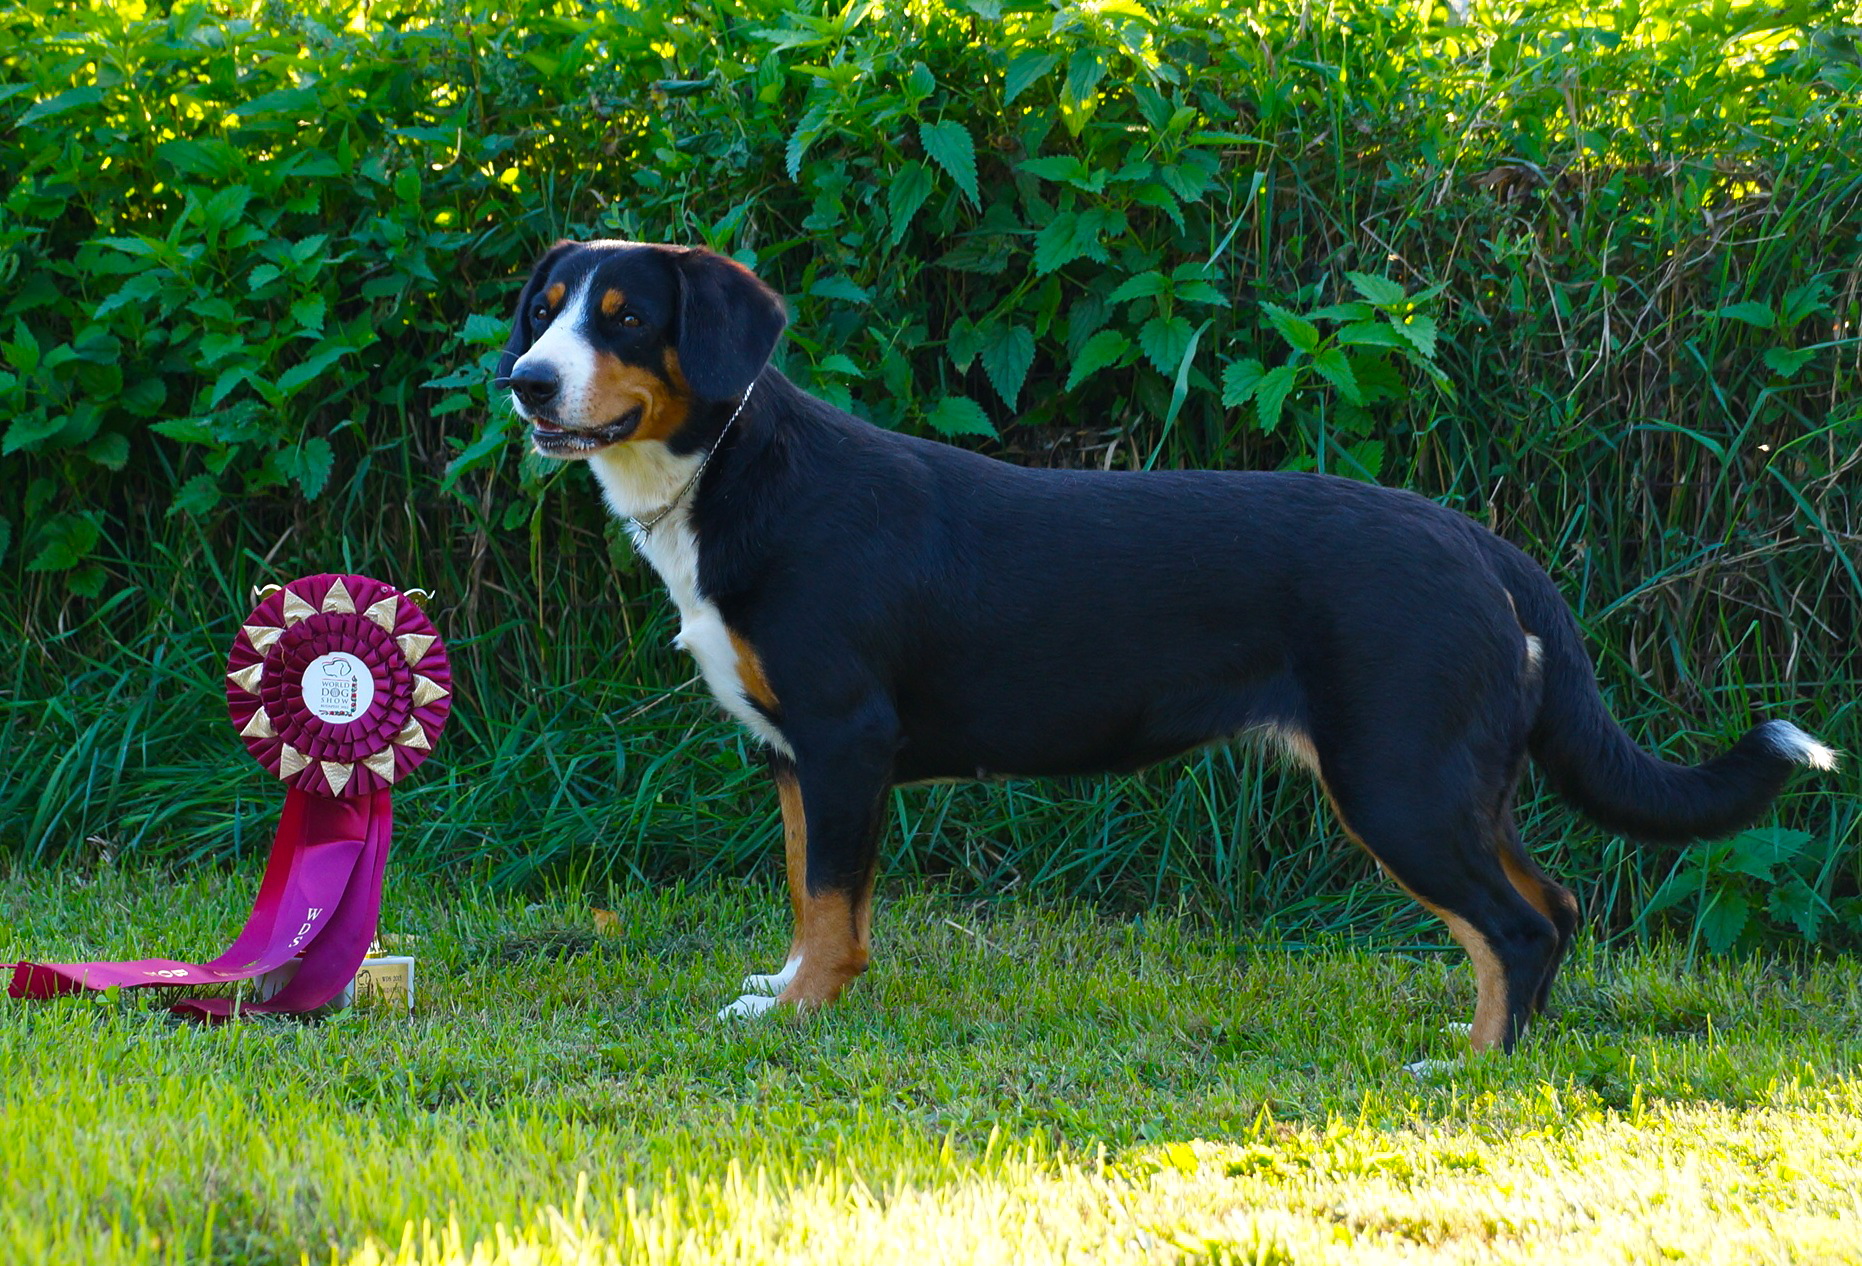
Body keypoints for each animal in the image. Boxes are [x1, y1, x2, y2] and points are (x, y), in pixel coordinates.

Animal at [502, 242, 1839, 1050]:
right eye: (545, 311)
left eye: (626, 319)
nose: (523, 381)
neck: (730, 475)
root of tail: (1476, 543)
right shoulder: (792, 760)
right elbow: (801, 891)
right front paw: (779, 991)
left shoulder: (843, 744)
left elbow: (831, 904)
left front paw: (803, 1016)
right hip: (1452, 780)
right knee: (1548, 907)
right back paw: (1492, 1051)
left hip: (1394, 782)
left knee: (1514, 924)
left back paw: (1466, 1070)